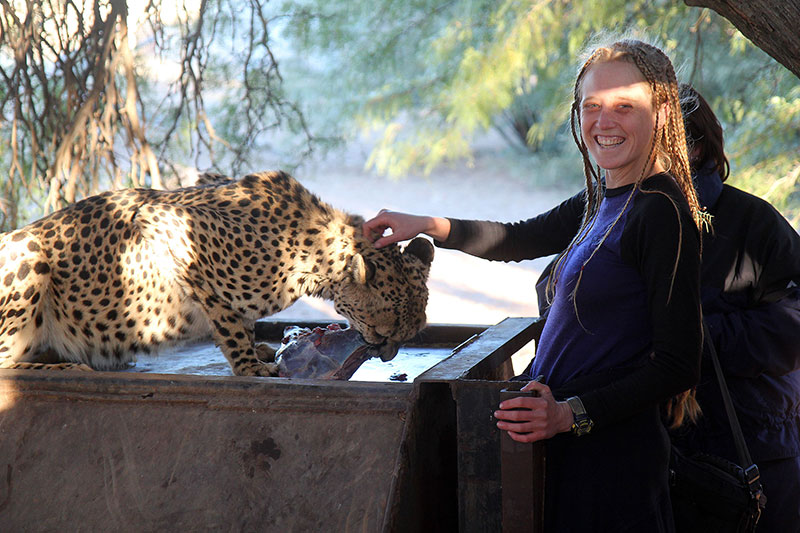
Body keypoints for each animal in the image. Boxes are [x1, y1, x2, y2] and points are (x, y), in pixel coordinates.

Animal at [0, 170, 434, 374]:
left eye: (409, 333)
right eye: (382, 330)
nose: (387, 355)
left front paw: (257, 348)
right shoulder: (165, 220)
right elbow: (226, 316)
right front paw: (250, 366)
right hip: (28, 250)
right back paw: (65, 364)